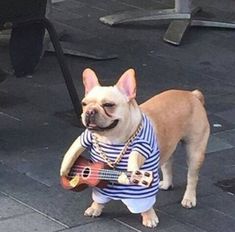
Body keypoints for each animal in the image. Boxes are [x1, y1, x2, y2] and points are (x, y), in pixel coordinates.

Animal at [59, 68, 210, 227]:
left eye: (108, 105)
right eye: (84, 104)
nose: (89, 111)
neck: (112, 139)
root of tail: (192, 95)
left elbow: (144, 199)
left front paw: (149, 217)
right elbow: (99, 192)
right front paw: (96, 207)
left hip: (195, 151)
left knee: (192, 176)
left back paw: (189, 198)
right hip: (167, 146)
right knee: (168, 163)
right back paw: (167, 184)